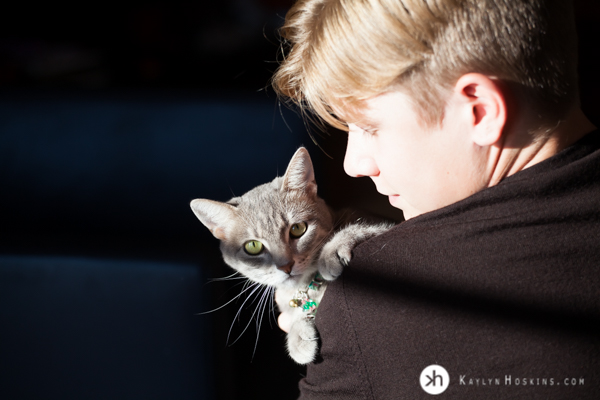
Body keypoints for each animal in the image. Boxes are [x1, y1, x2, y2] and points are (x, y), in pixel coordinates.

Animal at [190, 146, 392, 362]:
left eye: (297, 228)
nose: (285, 266)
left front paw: (333, 249)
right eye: (253, 246)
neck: (307, 287)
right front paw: (298, 332)